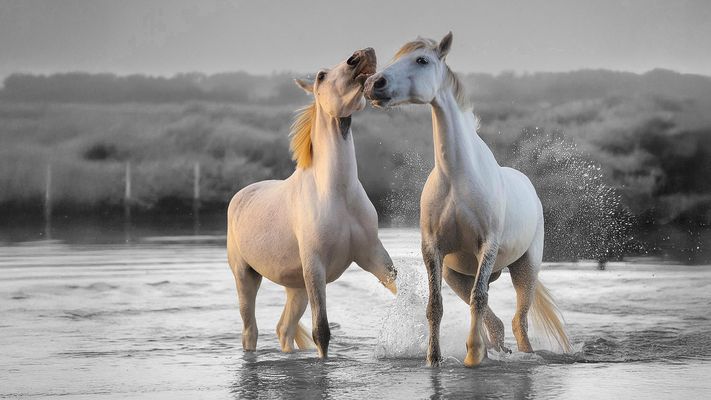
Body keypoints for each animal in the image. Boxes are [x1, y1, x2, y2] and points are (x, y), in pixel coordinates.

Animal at [227, 48, 397, 358]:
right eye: (320, 76)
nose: (361, 55)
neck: (337, 193)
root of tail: (241, 195)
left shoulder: (374, 256)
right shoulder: (315, 266)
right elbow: (322, 332)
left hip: (297, 287)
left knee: (284, 329)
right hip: (246, 277)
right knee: (250, 331)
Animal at [364, 33, 571, 367]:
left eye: (422, 60)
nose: (374, 84)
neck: (457, 178)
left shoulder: (487, 245)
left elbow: (479, 299)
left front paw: (473, 357)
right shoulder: (433, 250)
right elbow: (435, 305)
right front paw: (434, 359)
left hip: (526, 268)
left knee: (519, 320)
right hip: (457, 275)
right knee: (496, 323)